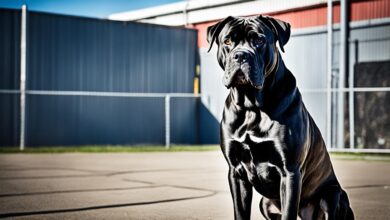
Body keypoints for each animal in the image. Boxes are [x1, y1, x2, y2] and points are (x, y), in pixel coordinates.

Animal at [209, 15, 354, 220]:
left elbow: (288, 211)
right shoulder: (236, 171)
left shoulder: (290, 171)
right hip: (265, 202)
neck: (251, 107)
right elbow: (241, 211)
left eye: (259, 40)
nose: (241, 55)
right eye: (228, 41)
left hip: (332, 195)